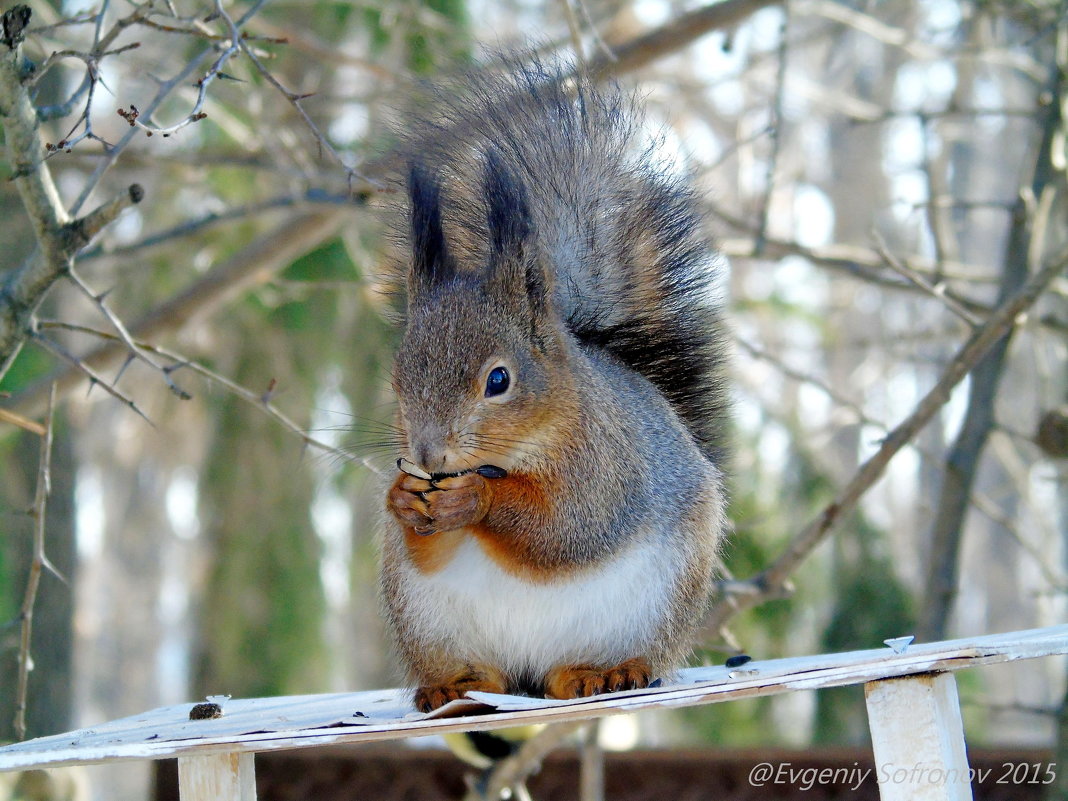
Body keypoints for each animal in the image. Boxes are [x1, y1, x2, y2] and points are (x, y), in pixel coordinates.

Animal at [380, 57, 730, 713]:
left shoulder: (606, 466)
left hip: (652, 610)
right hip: (427, 620)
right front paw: (402, 499)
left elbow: (565, 531)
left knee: (591, 662)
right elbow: (428, 549)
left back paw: (602, 673)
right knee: (482, 674)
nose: (428, 456)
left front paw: (475, 499)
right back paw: (456, 684)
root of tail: (532, 670)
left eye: (498, 379)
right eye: (397, 377)